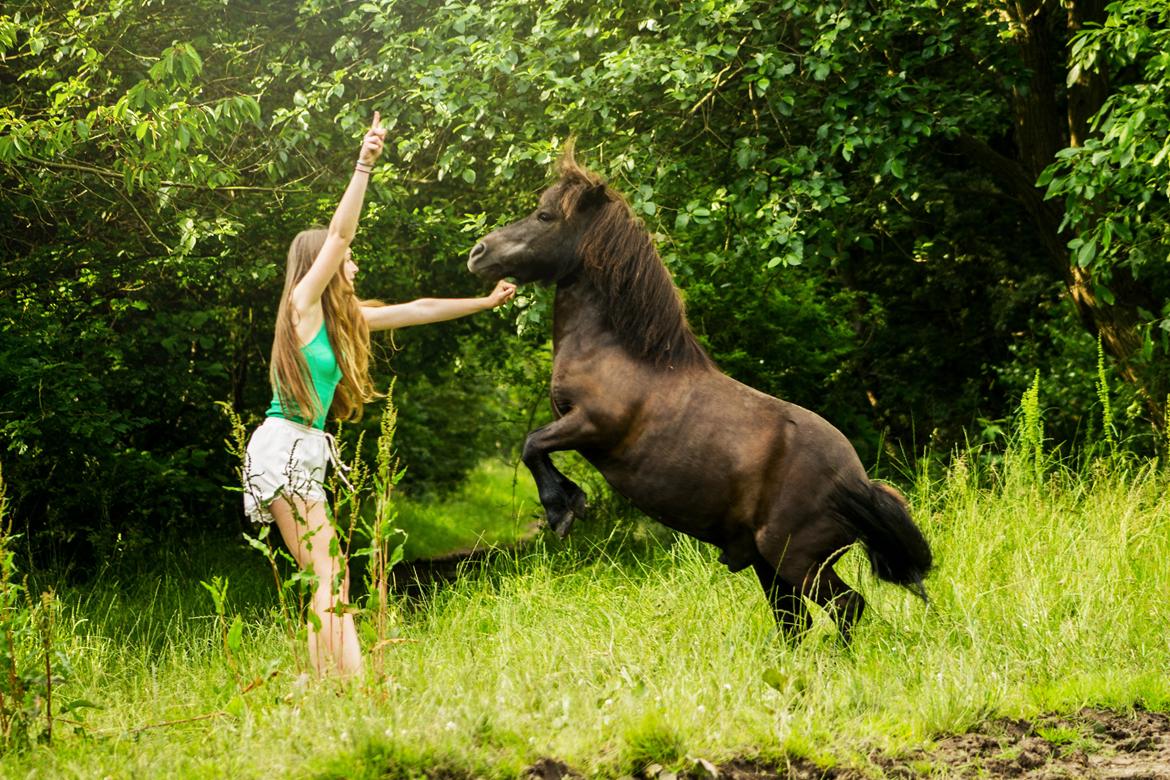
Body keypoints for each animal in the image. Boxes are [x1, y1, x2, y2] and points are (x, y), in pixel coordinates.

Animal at [465, 147, 931, 640]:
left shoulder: (591, 425)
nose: (478, 253)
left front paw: (563, 508)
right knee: (795, 622)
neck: (619, 351)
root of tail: (857, 480)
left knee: (846, 606)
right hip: (770, 565)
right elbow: (535, 446)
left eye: (545, 215)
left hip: (799, 559)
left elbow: (532, 444)